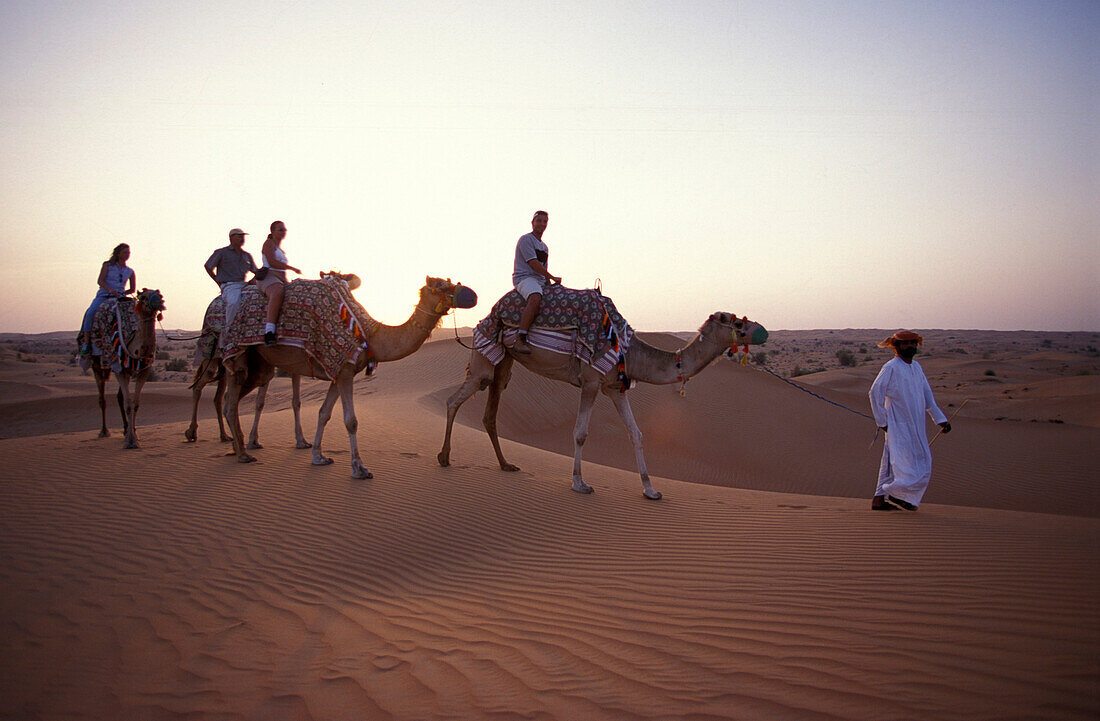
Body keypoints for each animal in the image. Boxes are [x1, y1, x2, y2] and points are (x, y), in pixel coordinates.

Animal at [86, 288, 167, 449]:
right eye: (143, 297)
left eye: (158, 292)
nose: (160, 300)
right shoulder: (119, 368)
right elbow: (128, 404)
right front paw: (130, 441)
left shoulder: (144, 369)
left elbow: (135, 403)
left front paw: (134, 435)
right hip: (97, 364)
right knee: (102, 398)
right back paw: (104, 431)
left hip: (128, 372)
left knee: (119, 397)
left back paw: (125, 430)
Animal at [185, 297, 310, 449]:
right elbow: (260, 403)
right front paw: (253, 440)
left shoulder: (294, 363)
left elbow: (296, 402)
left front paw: (301, 441)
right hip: (211, 355)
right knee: (200, 385)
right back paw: (192, 432)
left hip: (225, 366)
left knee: (219, 398)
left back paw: (225, 436)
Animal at [223, 276, 477, 479]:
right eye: (441, 287)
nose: (472, 295)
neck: (370, 335)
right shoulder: (345, 371)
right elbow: (351, 421)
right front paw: (359, 469)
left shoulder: (339, 372)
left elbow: (324, 413)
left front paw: (318, 456)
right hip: (237, 356)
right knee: (230, 402)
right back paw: (243, 453)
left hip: (259, 364)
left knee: (231, 400)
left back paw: (237, 446)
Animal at [435, 306, 765, 501]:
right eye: (737, 322)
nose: (761, 331)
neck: (630, 351)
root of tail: (481, 321)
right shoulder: (591, 382)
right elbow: (581, 433)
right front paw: (580, 483)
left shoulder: (616, 389)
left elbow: (636, 434)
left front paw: (650, 489)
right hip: (484, 359)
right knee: (454, 399)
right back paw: (444, 457)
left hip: (504, 362)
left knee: (490, 411)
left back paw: (506, 465)